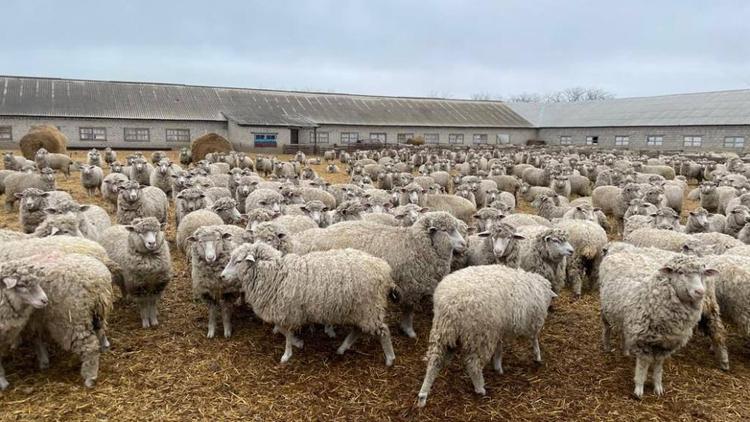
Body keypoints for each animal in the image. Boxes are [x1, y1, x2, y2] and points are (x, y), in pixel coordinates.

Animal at [223, 242, 400, 364]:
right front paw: (297, 343)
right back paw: (342, 348)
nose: (222, 276)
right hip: (361, 310)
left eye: (238, 261)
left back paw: (390, 359)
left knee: (384, 331)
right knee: (358, 330)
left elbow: (285, 332)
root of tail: (385, 270)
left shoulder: (287, 311)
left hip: (369, 308)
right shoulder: (286, 312)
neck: (276, 274)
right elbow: (282, 331)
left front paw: (288, 353)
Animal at [292, 213, 464, 338]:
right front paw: (408, 330)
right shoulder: (410, 286)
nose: (464, 244)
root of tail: (319, 235)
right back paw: (329, 330)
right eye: (446, 230)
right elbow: (408, 311)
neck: (415, 244)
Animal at [418, 264, 560, 406]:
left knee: (434, 361)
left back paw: (423, 395)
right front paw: (537, 356)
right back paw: (480, 388)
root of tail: (450, 305)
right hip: (480, 335)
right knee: (473, 365)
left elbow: (499, 348)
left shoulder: (500, 329)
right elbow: (534, 339)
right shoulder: (531, 322)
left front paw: (497, 366)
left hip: (442, 330)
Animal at [600, 254, 716, 398]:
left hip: (627, 319)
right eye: (680, 272)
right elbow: (643, 366)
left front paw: (658, 387)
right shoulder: (643, 340)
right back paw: (607, 346)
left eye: (702, 274)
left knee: (624, 332)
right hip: (606, 311)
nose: (700, 291)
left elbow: (658, 367)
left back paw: (626, 351)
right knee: (607, 328)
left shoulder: (666, 344)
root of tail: (617, 254)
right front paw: (639, 389)